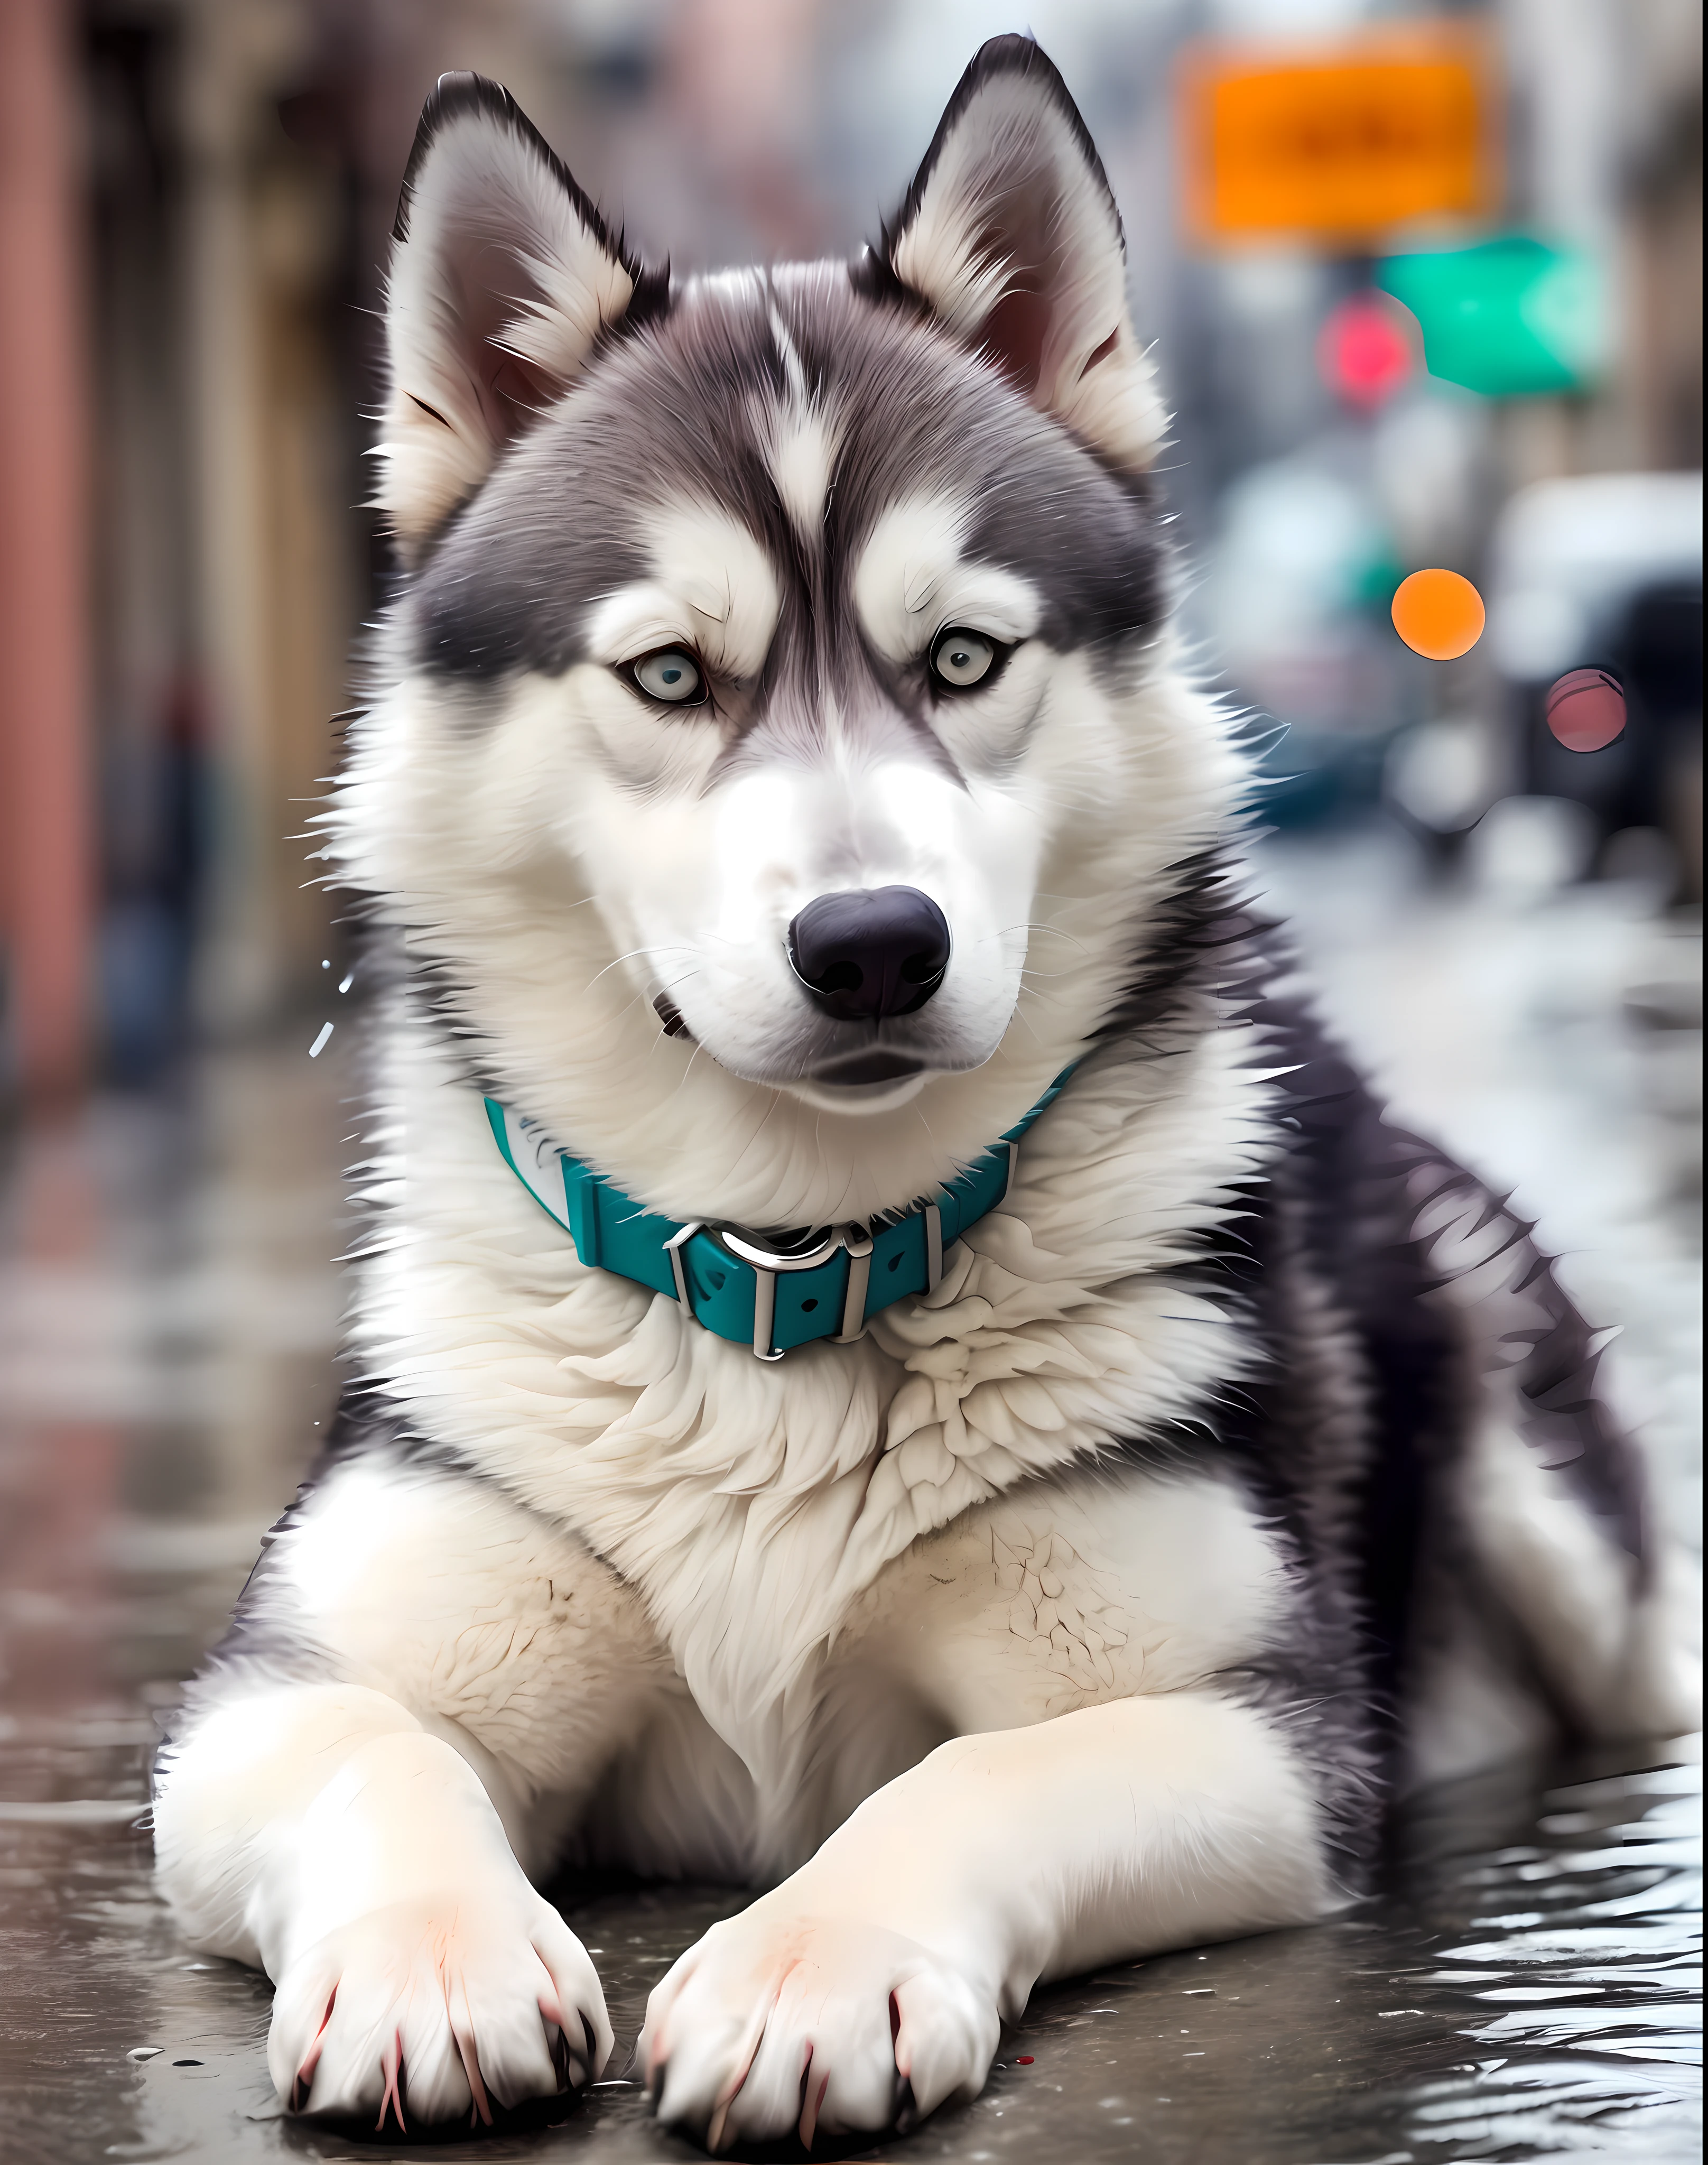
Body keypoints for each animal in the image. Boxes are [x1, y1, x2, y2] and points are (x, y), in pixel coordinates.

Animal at [153, 34, 1697, 2148]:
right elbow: (372, 1750)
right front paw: (431, 1959)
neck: (787, 1268)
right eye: (668, 675)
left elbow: (968, 1776)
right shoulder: (284, 1687)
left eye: (961, 656)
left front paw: (817, 1963)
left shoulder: (1245, 1725)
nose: (874, 942)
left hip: (1530, 1458)